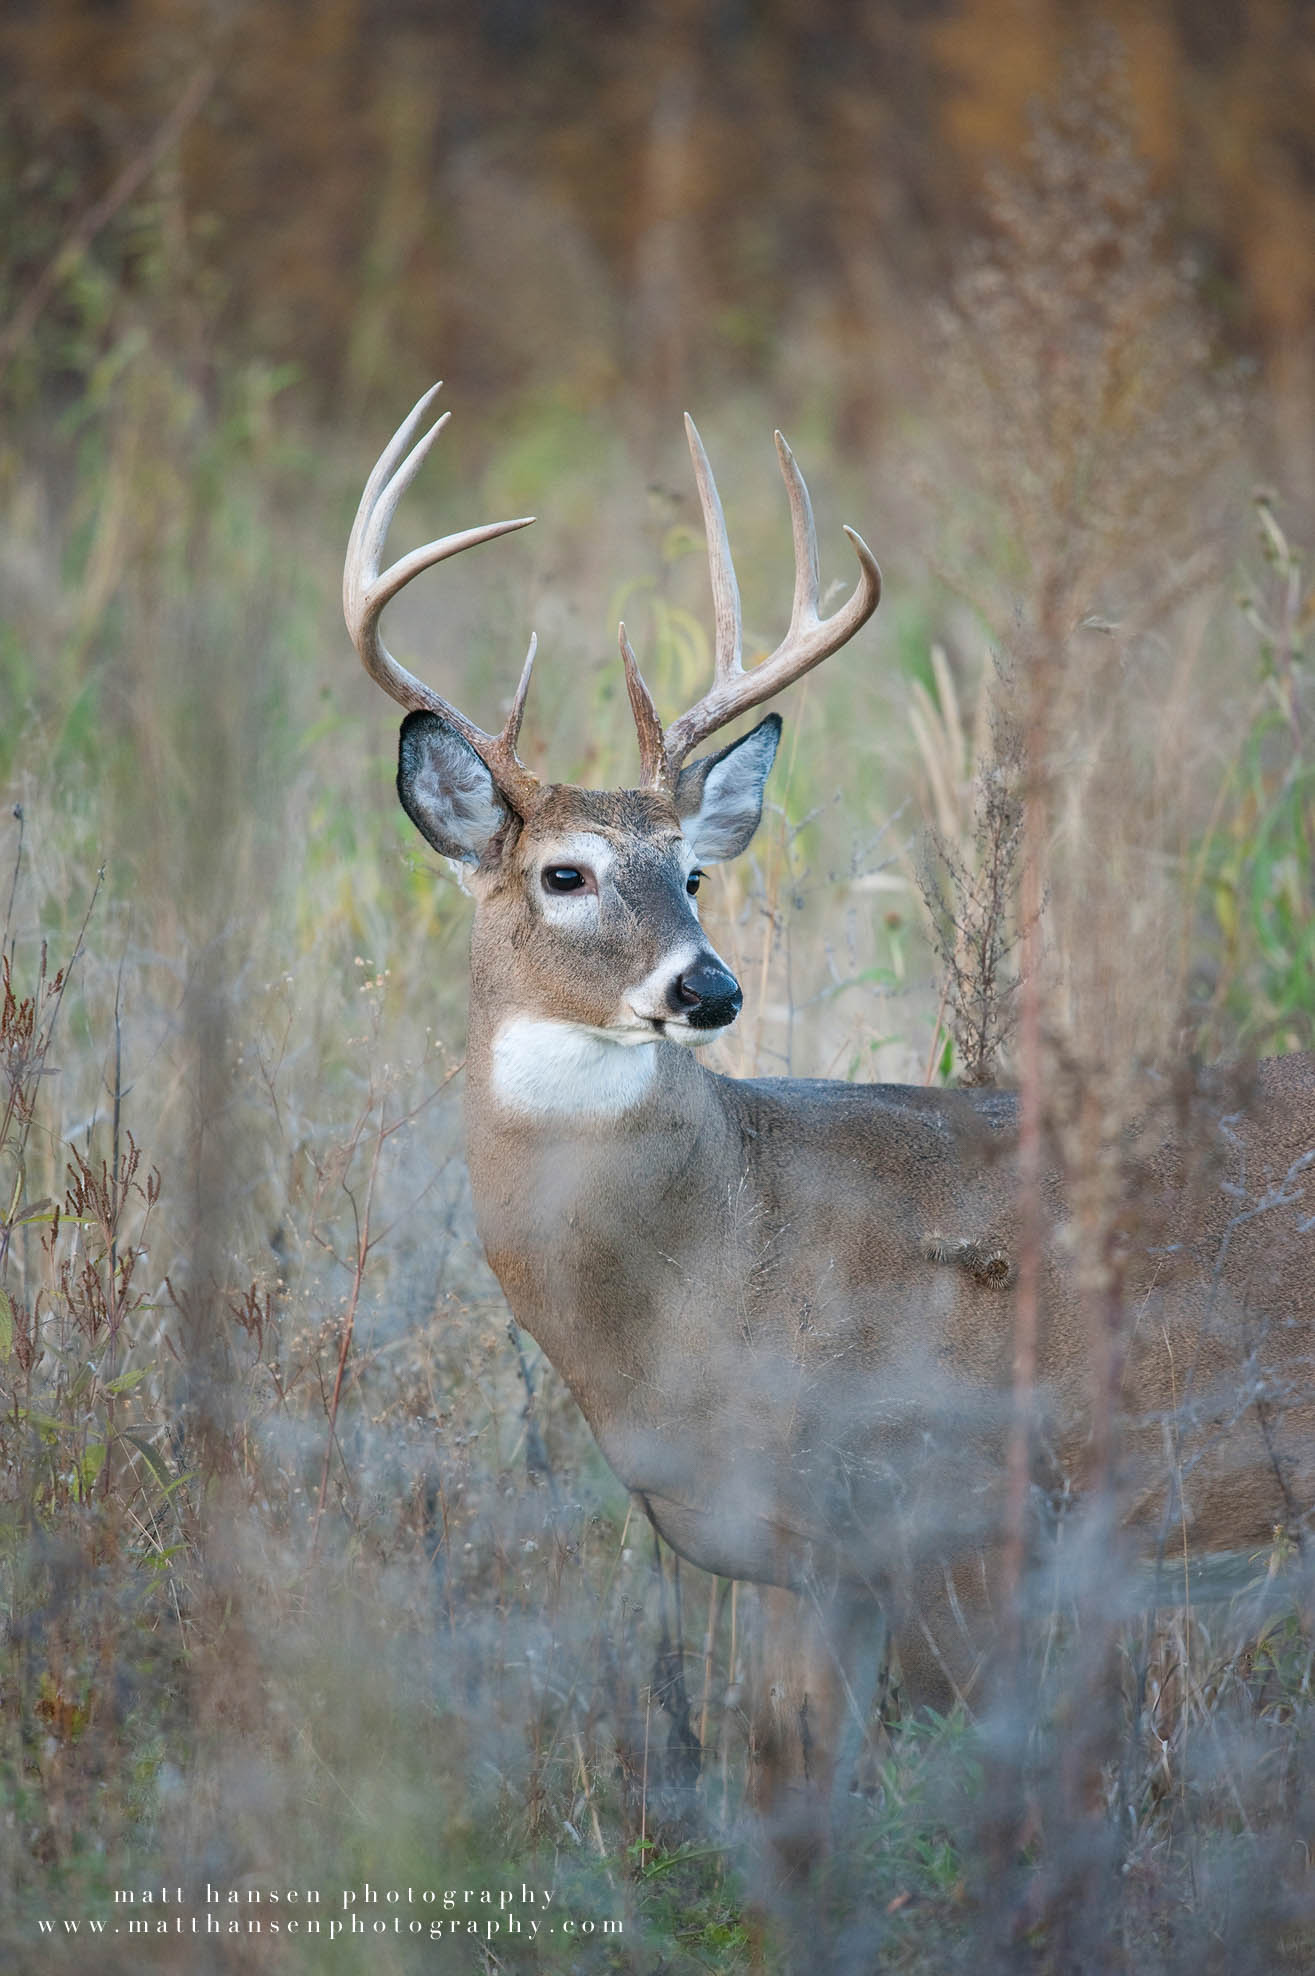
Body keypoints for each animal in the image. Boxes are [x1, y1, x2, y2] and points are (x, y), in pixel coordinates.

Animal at [344, 383, 1315, 1864]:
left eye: (691, 873)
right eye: (564, 873)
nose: (708, 987)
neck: (727, 1268)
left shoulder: (966, 1520)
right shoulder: (804, 1565)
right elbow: (790, 1804)